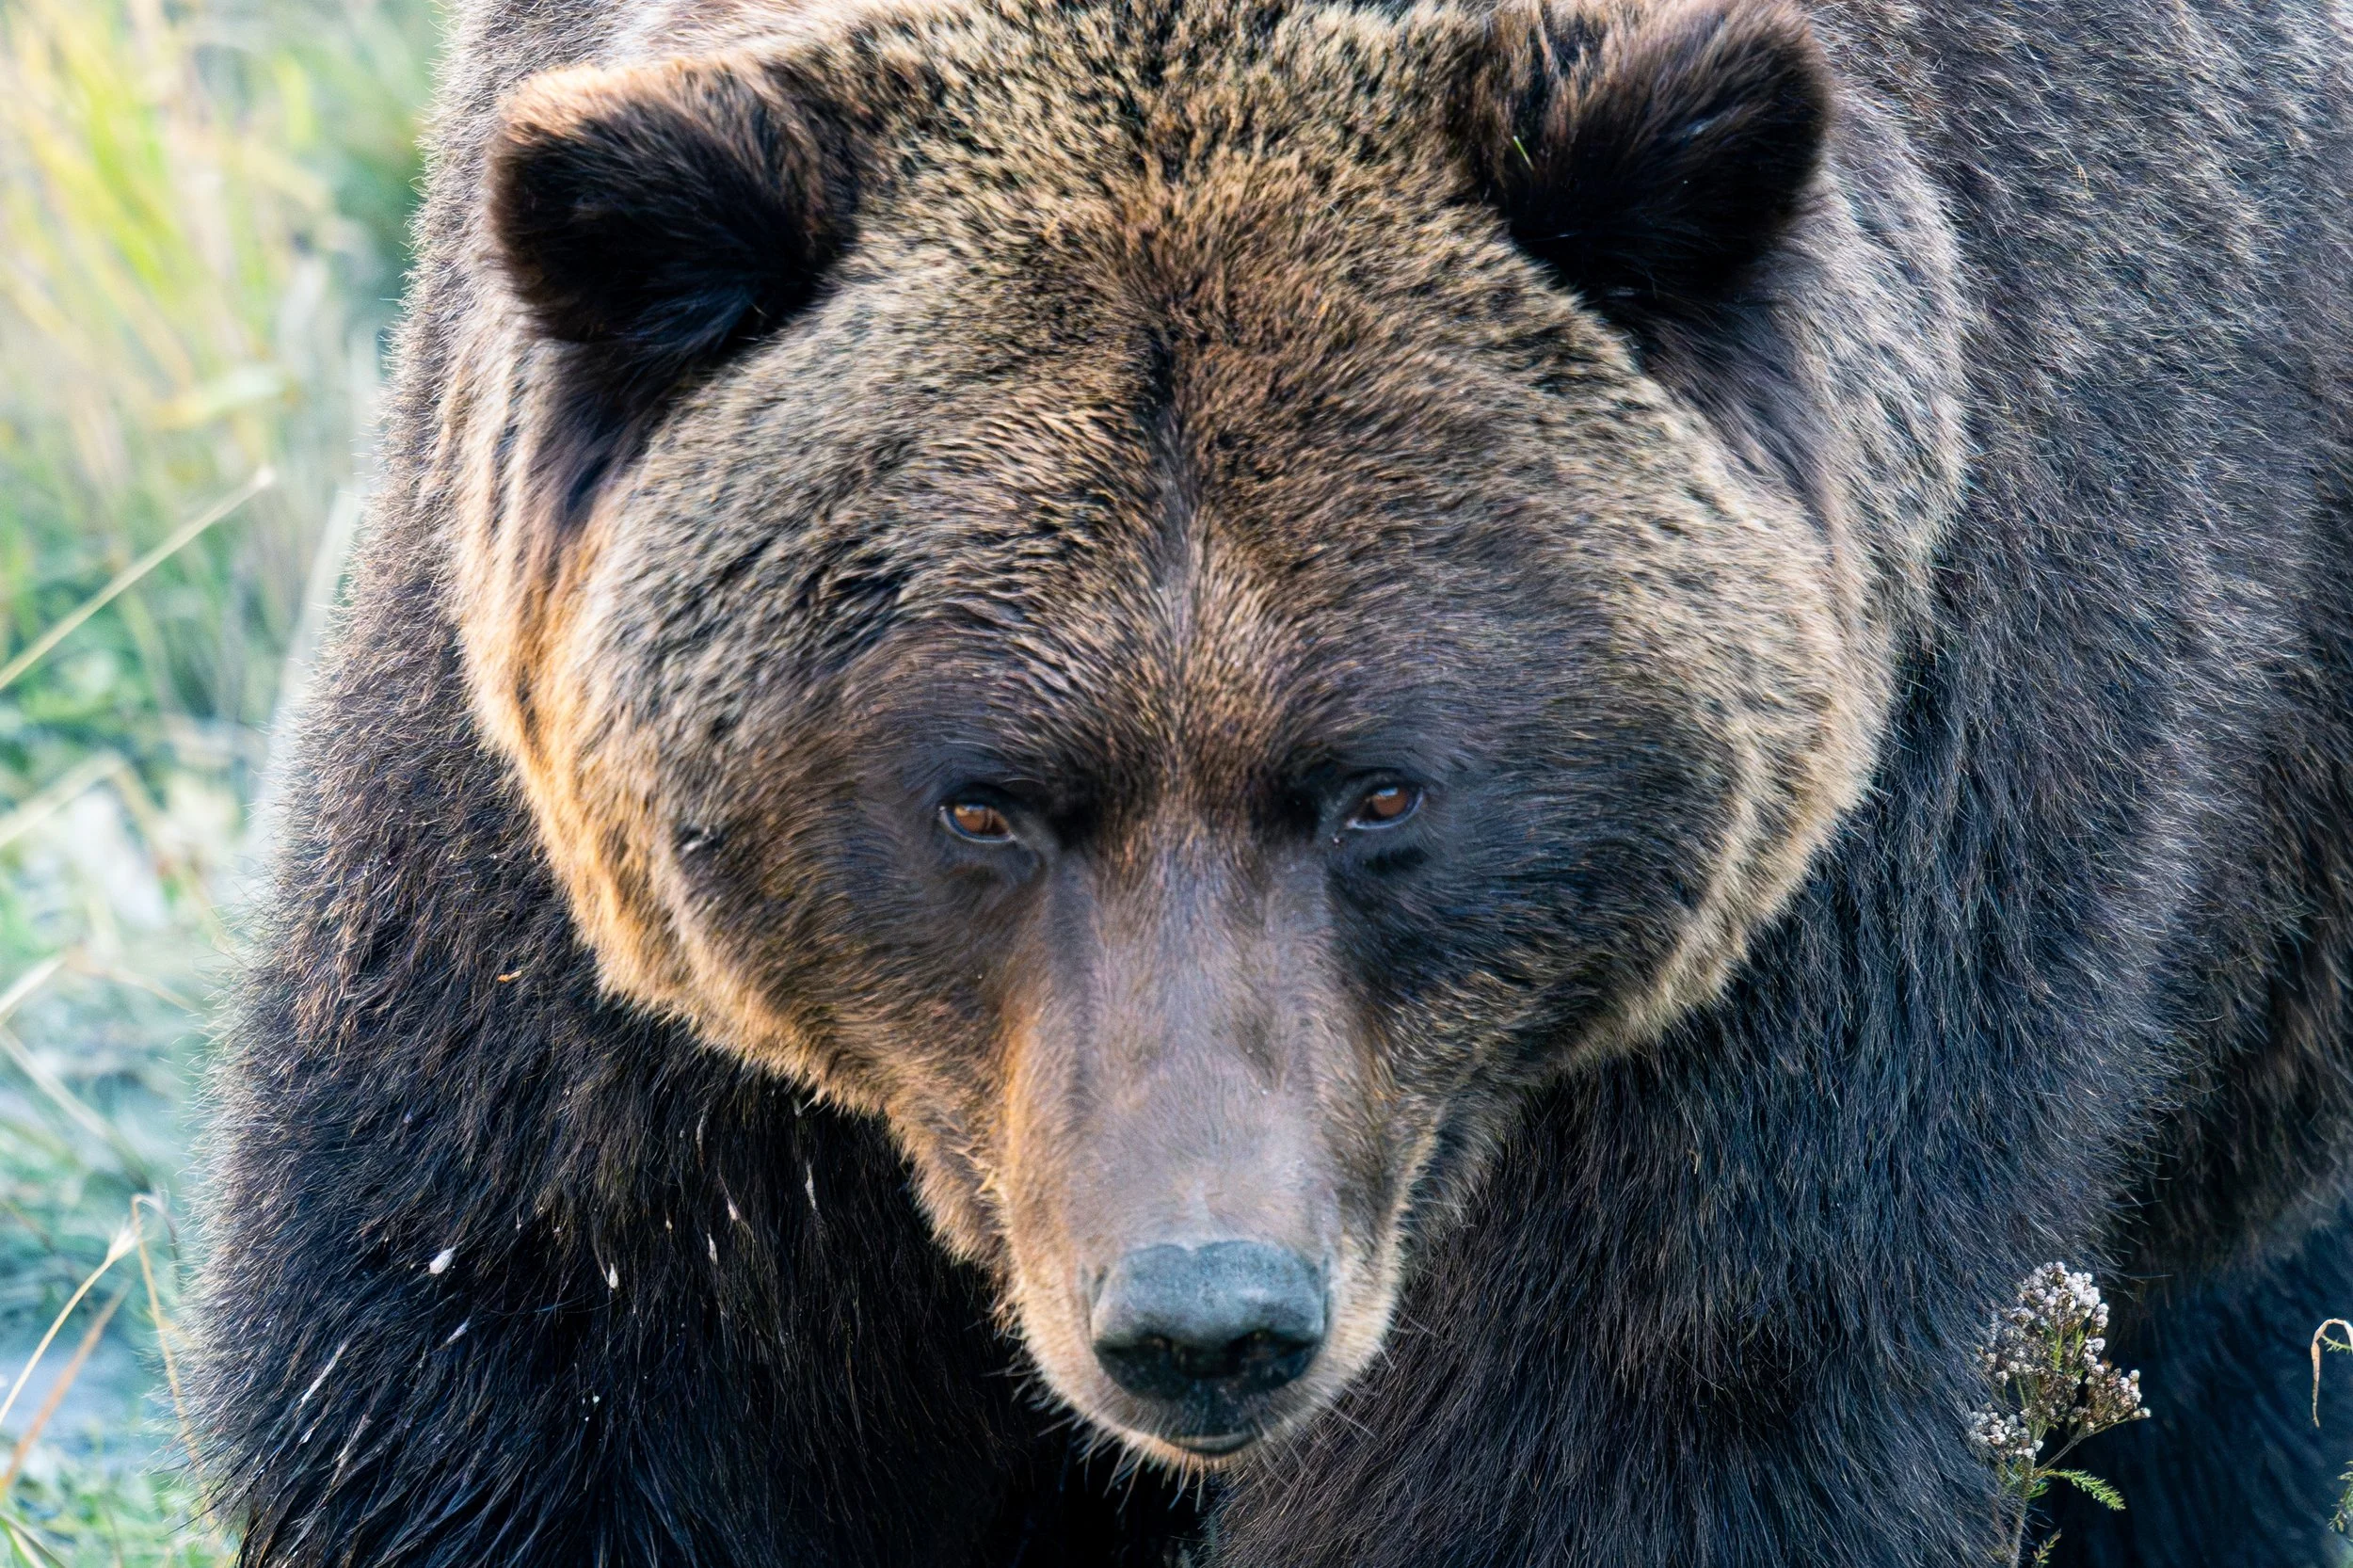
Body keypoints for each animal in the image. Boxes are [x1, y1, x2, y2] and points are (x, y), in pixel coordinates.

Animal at [186, 0, 2353, 1561]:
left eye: (1383, 788)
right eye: (980, 797)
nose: (1203, 1315)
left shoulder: (1847, 903)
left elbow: (1629, 1426)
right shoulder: (579, 971)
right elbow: (555, 1358)